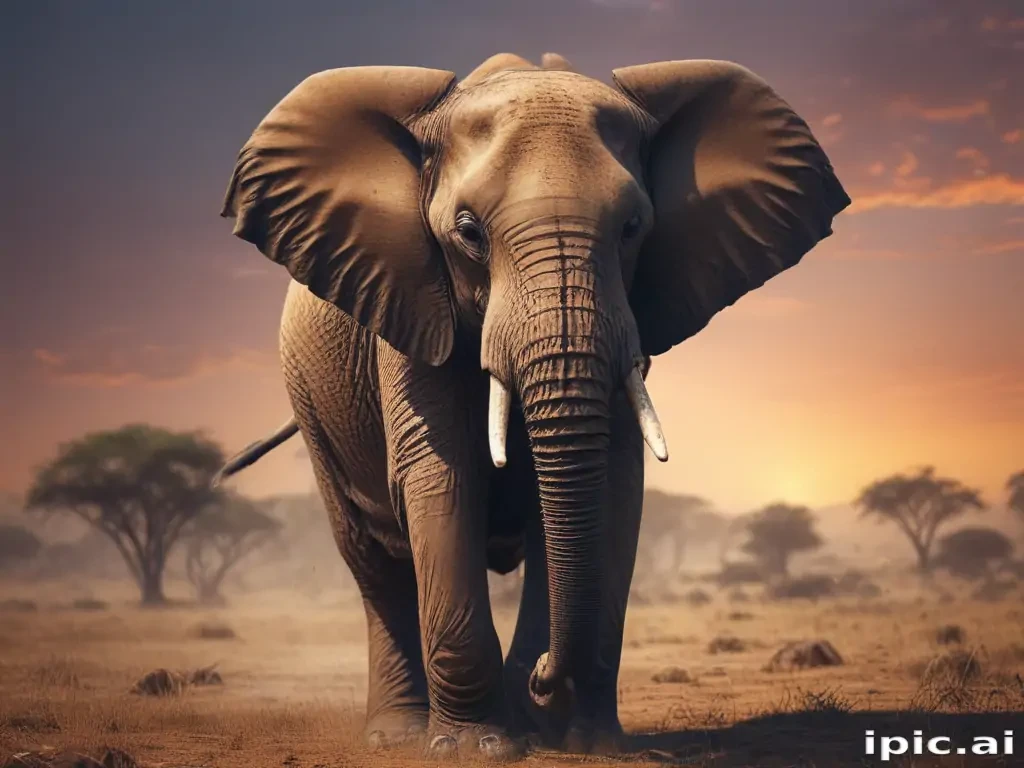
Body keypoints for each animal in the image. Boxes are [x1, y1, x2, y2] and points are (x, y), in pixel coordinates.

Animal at [215, 51, 849, 759]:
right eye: (467, 232)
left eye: (633, 228)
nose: (544, 676)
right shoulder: (411, 303)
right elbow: (441, 479)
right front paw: (474, 748)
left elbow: (612, 486)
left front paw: (584, 739)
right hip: (312, 407)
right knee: (373, 563)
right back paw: (396, 736)